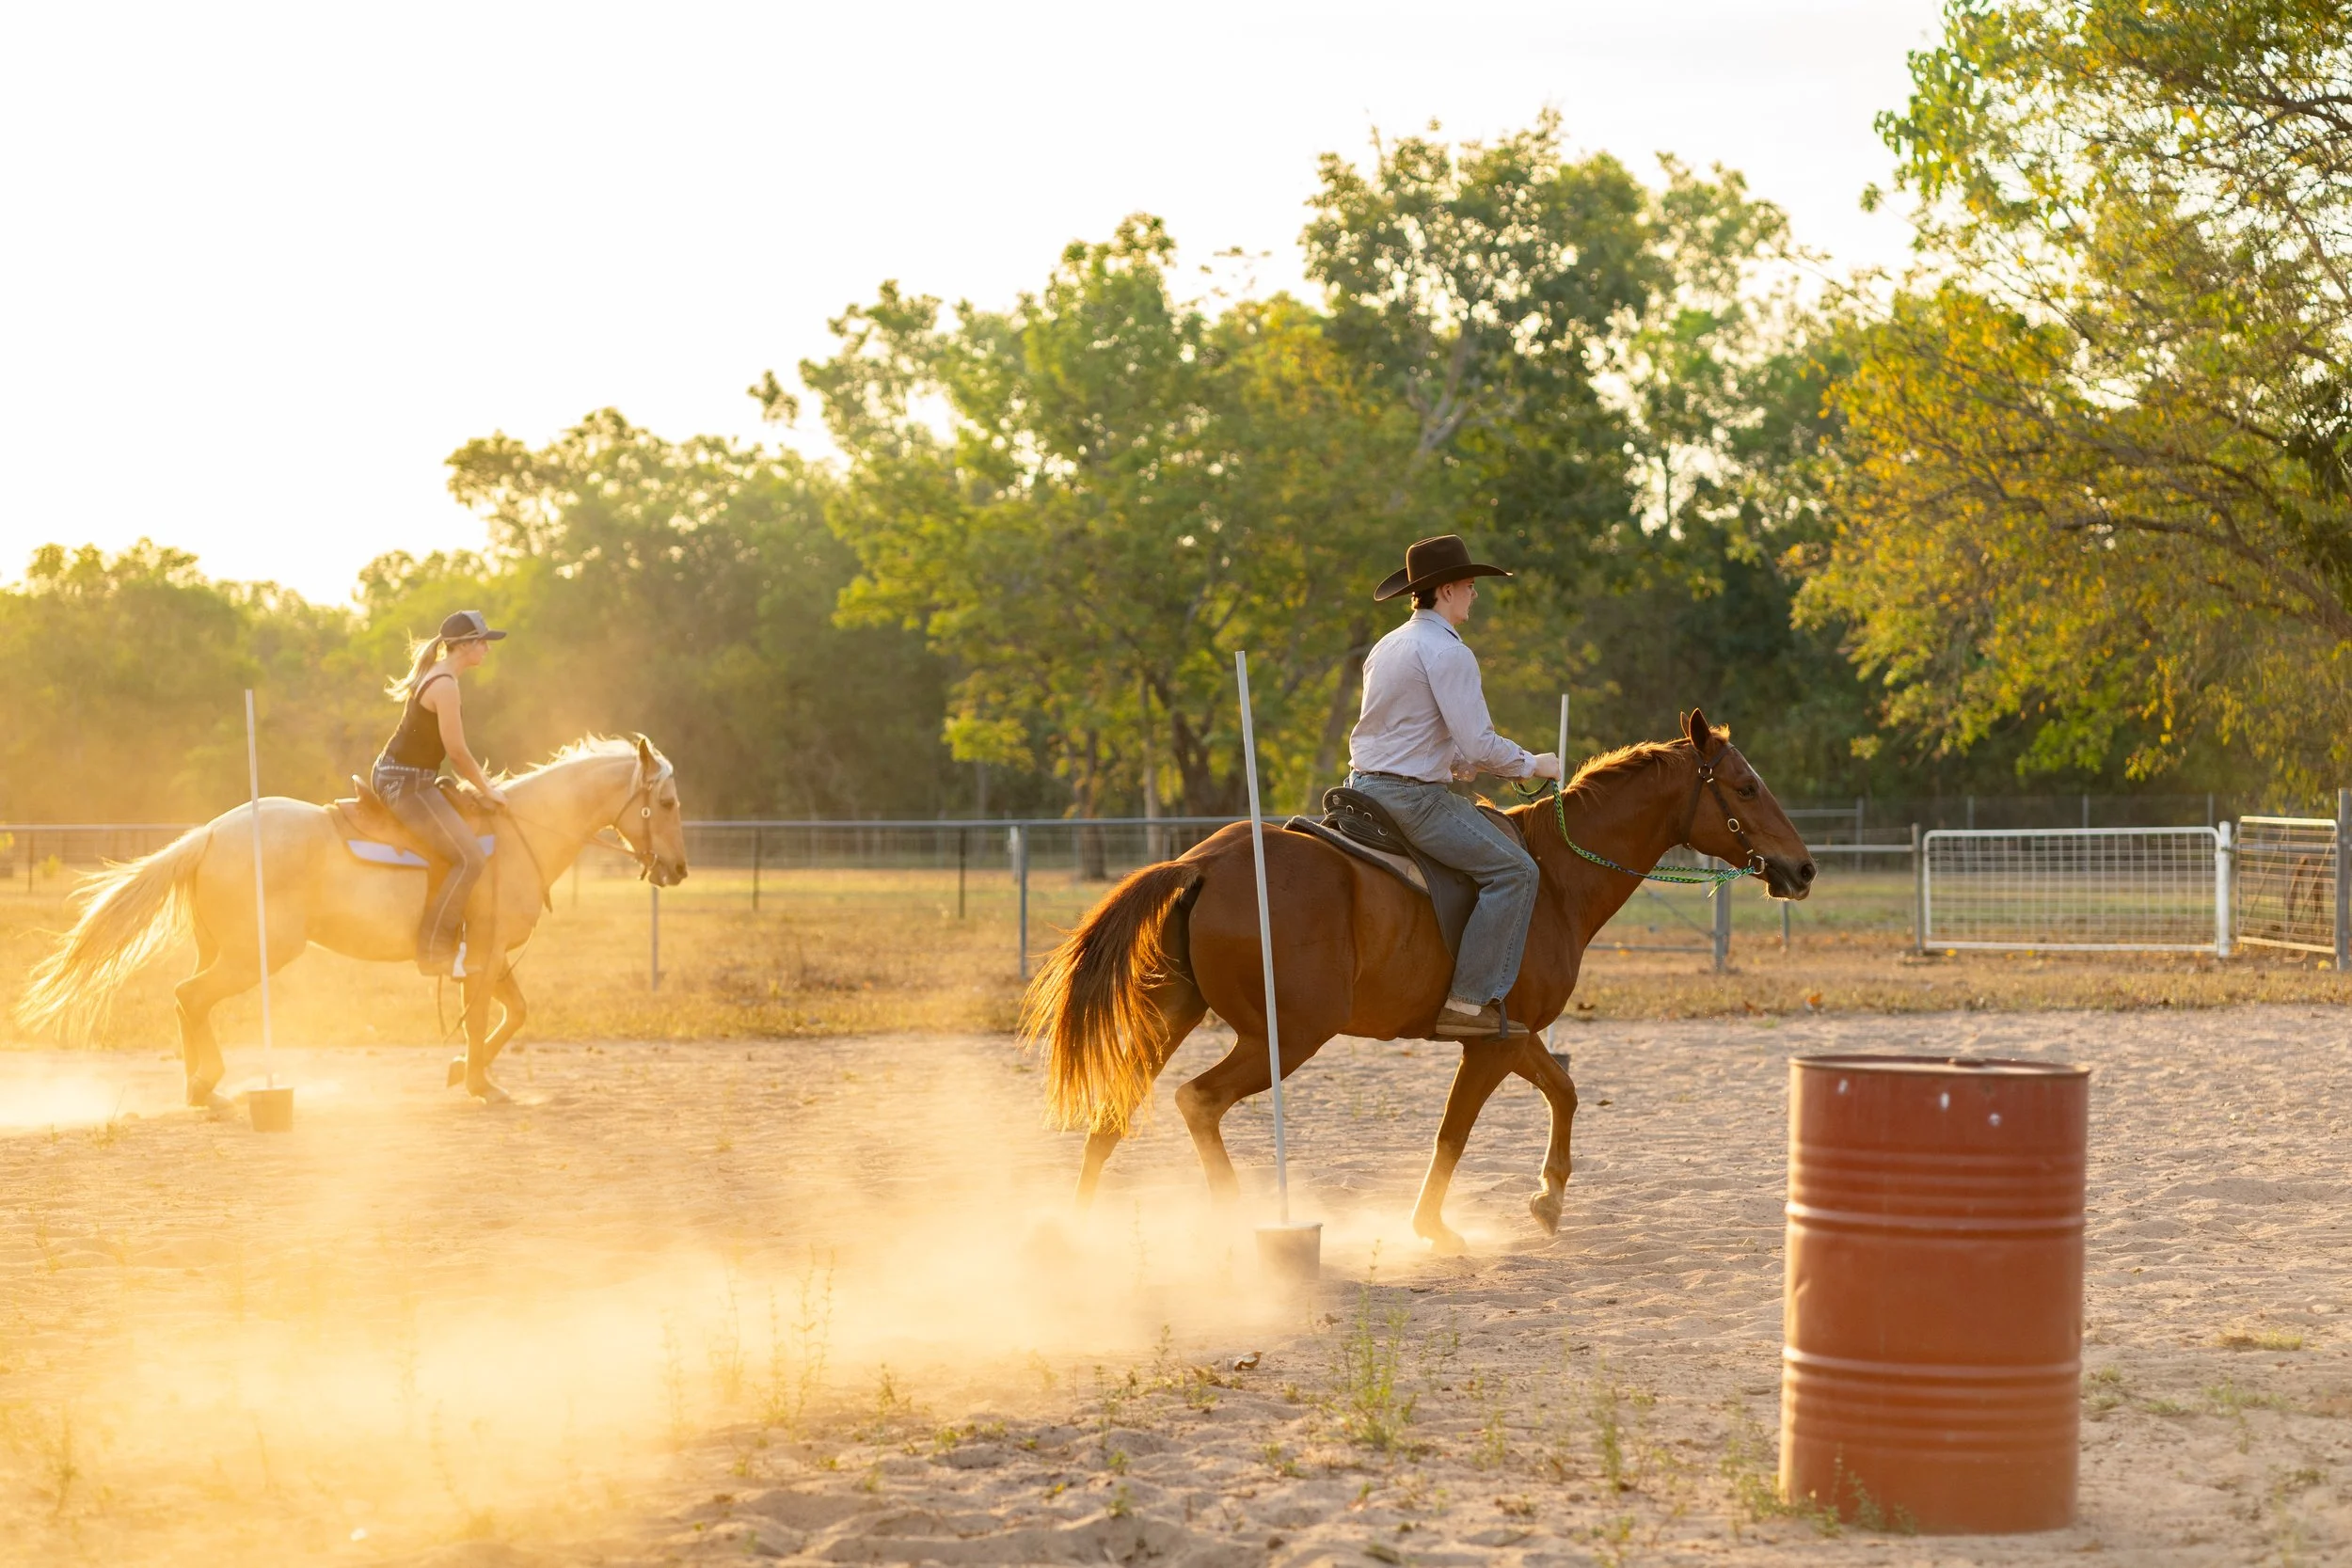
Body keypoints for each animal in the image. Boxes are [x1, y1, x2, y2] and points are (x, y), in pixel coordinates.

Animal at [14, 735, 689, 1107]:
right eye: (667, 801)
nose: (679, 869)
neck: (518, 834)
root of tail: (208, 835)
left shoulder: (490, 958)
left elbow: (513, 1015)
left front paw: (463, 1073)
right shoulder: (487, 951)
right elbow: (482, 1020)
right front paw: (479, 1083)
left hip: (223, 951)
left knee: (188, 1002)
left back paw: (203, 1089)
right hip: (255, 956)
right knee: (190, 996)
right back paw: (209, 1087)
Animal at [1020, 709, 1815, 1254]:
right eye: (1746, 786)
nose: (1802, 867)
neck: (1555, 877)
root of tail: (1203, 863)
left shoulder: (1513, 1033)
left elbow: (1563, 1089)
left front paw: (1549, 1198)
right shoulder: (1489, 1044)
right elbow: (1454, 1130)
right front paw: (1433, 1225)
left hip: (1176, 1013)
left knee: (1116, 1111)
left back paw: (1078, 1232)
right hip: (1284, 1035)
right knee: (1198, 1100)